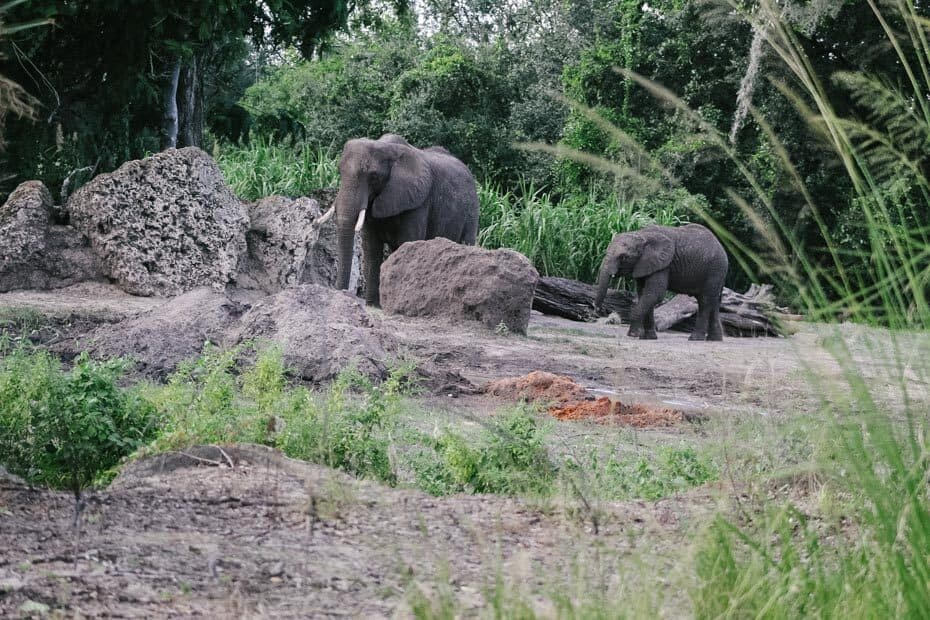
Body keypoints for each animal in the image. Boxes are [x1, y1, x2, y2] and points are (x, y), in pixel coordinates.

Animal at [320, 134, 478, 306]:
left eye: (373, 176)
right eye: (339, 171)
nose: (341, 293)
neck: (387, 149)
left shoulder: (418, 201)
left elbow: (408, 242)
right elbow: (371, 247)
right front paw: (372, 304)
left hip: (472, 210)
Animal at [596, 223, 724, 340]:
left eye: (624, 257)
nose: (598, 310)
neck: (642, 235)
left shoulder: (663, 264)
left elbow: (655, 294)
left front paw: (633, 335)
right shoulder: (644, 265)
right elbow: (644, 294)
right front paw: (648, 337)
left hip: (714, 270)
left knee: (705, 301)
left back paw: (695, 338)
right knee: (713, 302)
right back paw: (715, 339)